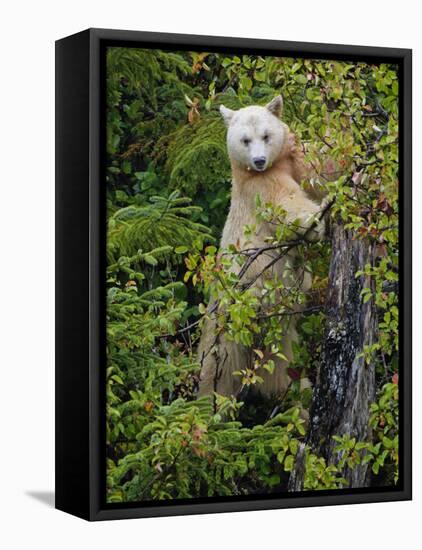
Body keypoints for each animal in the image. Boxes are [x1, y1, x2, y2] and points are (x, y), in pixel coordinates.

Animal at [196, 97, 324, 402]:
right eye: (245, 140)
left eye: (266, 136)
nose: (259, 160)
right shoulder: (258, 185)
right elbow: (285, 202)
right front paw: (316, 222)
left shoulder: (291, 160)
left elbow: (318, 166)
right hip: (227, 326)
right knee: (214, 373)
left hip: (277, 339)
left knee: (283, 369)